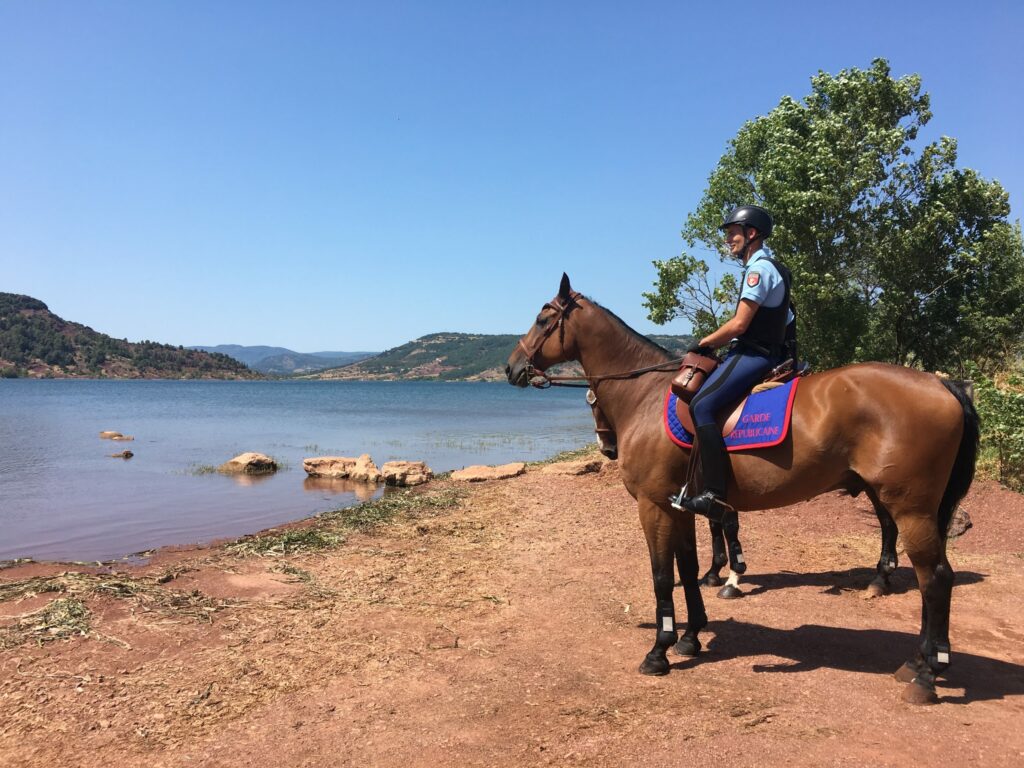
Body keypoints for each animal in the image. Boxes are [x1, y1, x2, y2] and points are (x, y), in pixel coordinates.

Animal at [506, 274, 978, 704]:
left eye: (542, 318)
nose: (512, 367)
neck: (647, 396)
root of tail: (941, 383)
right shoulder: (679, 506)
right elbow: (689, 569)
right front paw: (691, 635)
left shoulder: (654, 506)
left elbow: (662, 576)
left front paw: (659, 650)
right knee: (934, 575)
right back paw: (919, 661)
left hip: (909, 507)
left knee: (935, 579)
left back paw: (926, 674)